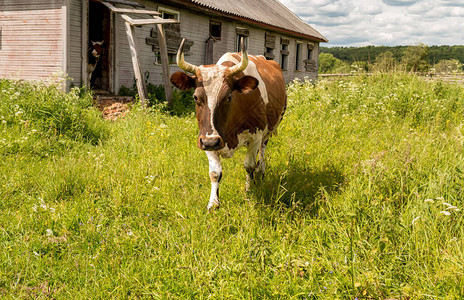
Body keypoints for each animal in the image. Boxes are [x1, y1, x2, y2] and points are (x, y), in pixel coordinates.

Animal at [170, 37, 286, 210]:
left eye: (229, 97)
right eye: (196, 97)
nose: (211, 142)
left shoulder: (255, 136)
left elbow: (249, 165)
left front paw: (249, 190)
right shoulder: (206, 138)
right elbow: (214, 173)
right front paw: (213, 203)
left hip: (270, 130)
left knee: (263, 150)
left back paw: (261, 170)